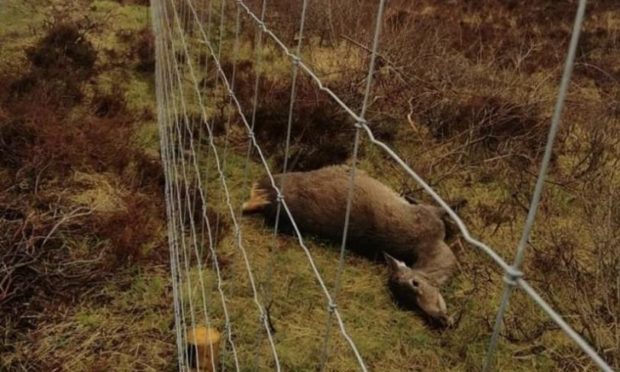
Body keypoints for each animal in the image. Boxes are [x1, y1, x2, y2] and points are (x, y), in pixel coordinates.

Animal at [241, 165, 456, 326]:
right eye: (414, 283)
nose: (442, 319)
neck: (431, 245)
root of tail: (264, 198)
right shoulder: (429, 212)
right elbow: (447, 208)